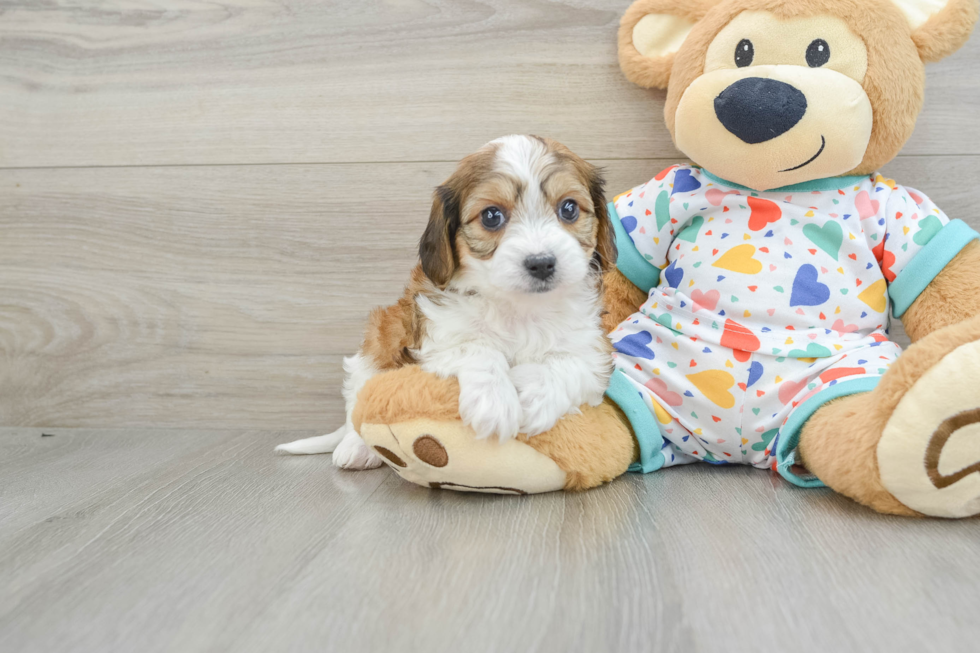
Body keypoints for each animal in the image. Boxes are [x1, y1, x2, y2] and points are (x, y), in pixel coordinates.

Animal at [276, 134, 616, 468]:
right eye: (492, 216)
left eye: (569, 209)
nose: (542, 263)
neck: (519, 307)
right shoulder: (433, 339)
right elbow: (477, 348)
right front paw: (494, 401)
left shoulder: (592, 351)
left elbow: (568, 363)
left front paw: (534, 397)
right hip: (376, 345)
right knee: (357, 408)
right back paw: (356, 447)